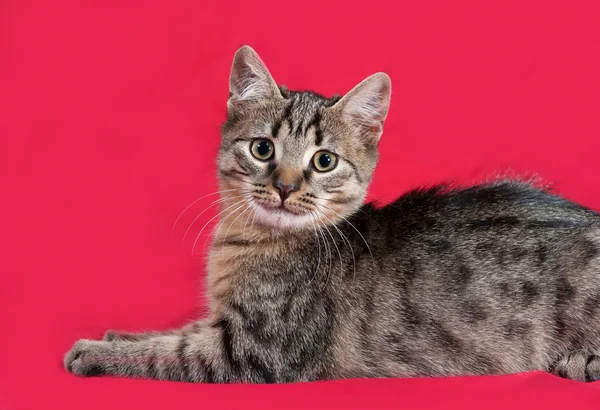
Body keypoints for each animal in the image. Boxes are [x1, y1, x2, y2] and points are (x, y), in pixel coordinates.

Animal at [64, 46, 600, 382]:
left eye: (324, 161)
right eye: (262, 149)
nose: (284, 187)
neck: (249, 241)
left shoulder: (254, 350)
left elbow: (166, 353)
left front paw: (97, 351)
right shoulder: (221, 326)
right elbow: (175, 331)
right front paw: (119, 333)